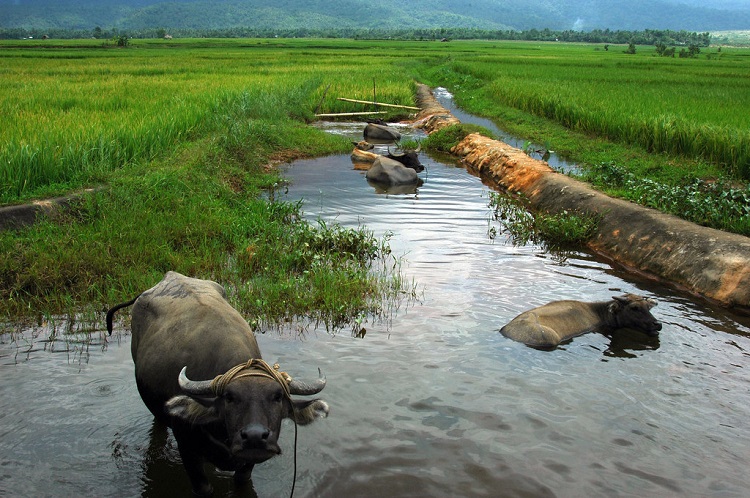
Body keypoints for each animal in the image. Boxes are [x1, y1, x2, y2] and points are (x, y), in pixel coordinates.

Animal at [107, 270, 330, 496]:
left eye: (277, 397)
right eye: (229, 398)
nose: (255, 437)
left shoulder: (246, 466)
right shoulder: (187, 449)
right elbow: (204, 488)